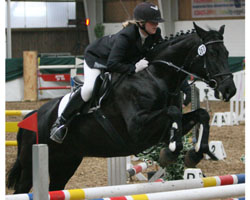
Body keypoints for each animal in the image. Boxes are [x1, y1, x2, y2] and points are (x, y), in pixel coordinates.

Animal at [6, 22, 235, 193]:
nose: (229, 90)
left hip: (66, 163)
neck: (157, 77)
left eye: (226, 52)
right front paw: (170, 153)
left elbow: (201, 114)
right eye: (211, 54)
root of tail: (31, 117)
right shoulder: (138, 129)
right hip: (31, 165)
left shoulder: (159, 130)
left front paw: (195, 154)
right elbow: (173, 113)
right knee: (22, 189)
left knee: (55, 187)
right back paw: (58, 128)